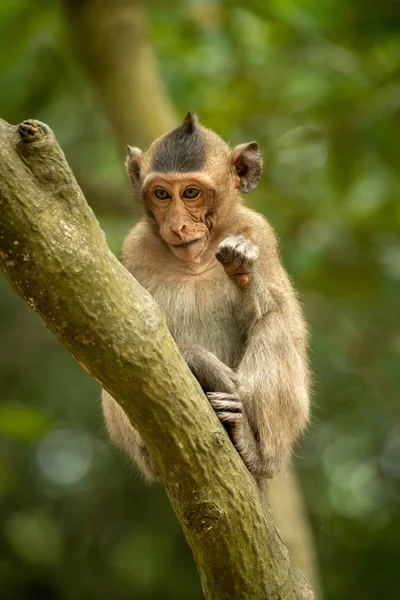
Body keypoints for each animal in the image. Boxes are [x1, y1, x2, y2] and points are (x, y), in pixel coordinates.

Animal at [101, 111, 310, 488]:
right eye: (161, 194)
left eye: (191, 193)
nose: (177, 225)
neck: (195, 260)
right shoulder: (134, 248)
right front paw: (194, 357)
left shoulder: (258, 231)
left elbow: (283, 317)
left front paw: (243, 267)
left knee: (274, 326)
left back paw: (255, 452)